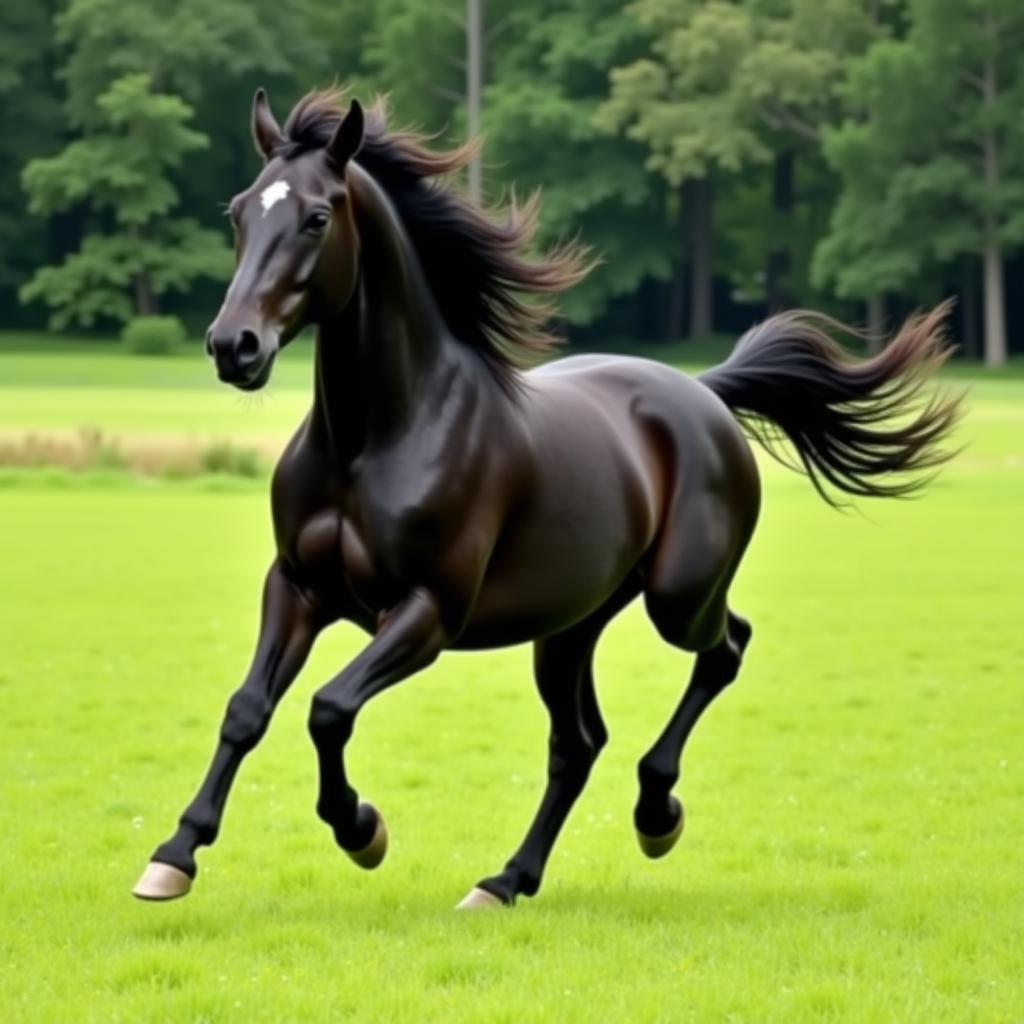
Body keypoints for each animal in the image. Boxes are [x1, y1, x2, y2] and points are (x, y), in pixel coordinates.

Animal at [134, 86, 958, 905]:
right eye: (240, 213)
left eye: (315, 217)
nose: (234, 346)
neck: (372, 438)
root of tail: (704, 392)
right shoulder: (299, 587)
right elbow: (247, 710)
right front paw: (174, 856)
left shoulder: (427, 612)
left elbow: (328, 709)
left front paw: (362, 830)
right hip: (568, 626)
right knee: (579, 742)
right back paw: (506, 880)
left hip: (677, 599)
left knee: (726, 648)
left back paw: (655, 814)